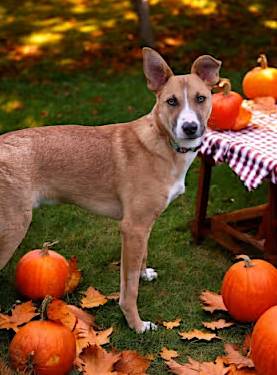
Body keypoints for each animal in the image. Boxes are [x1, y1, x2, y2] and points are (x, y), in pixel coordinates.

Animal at [0, 48, 220, 334]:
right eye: (171, 101)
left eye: (201, 98)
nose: (190, 128)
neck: (163, 142)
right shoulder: (133, 227)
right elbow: (129, 290)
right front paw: (136, 324)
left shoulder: (141, 227)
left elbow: (140, 261)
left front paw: (143, 273)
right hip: (13, 228)